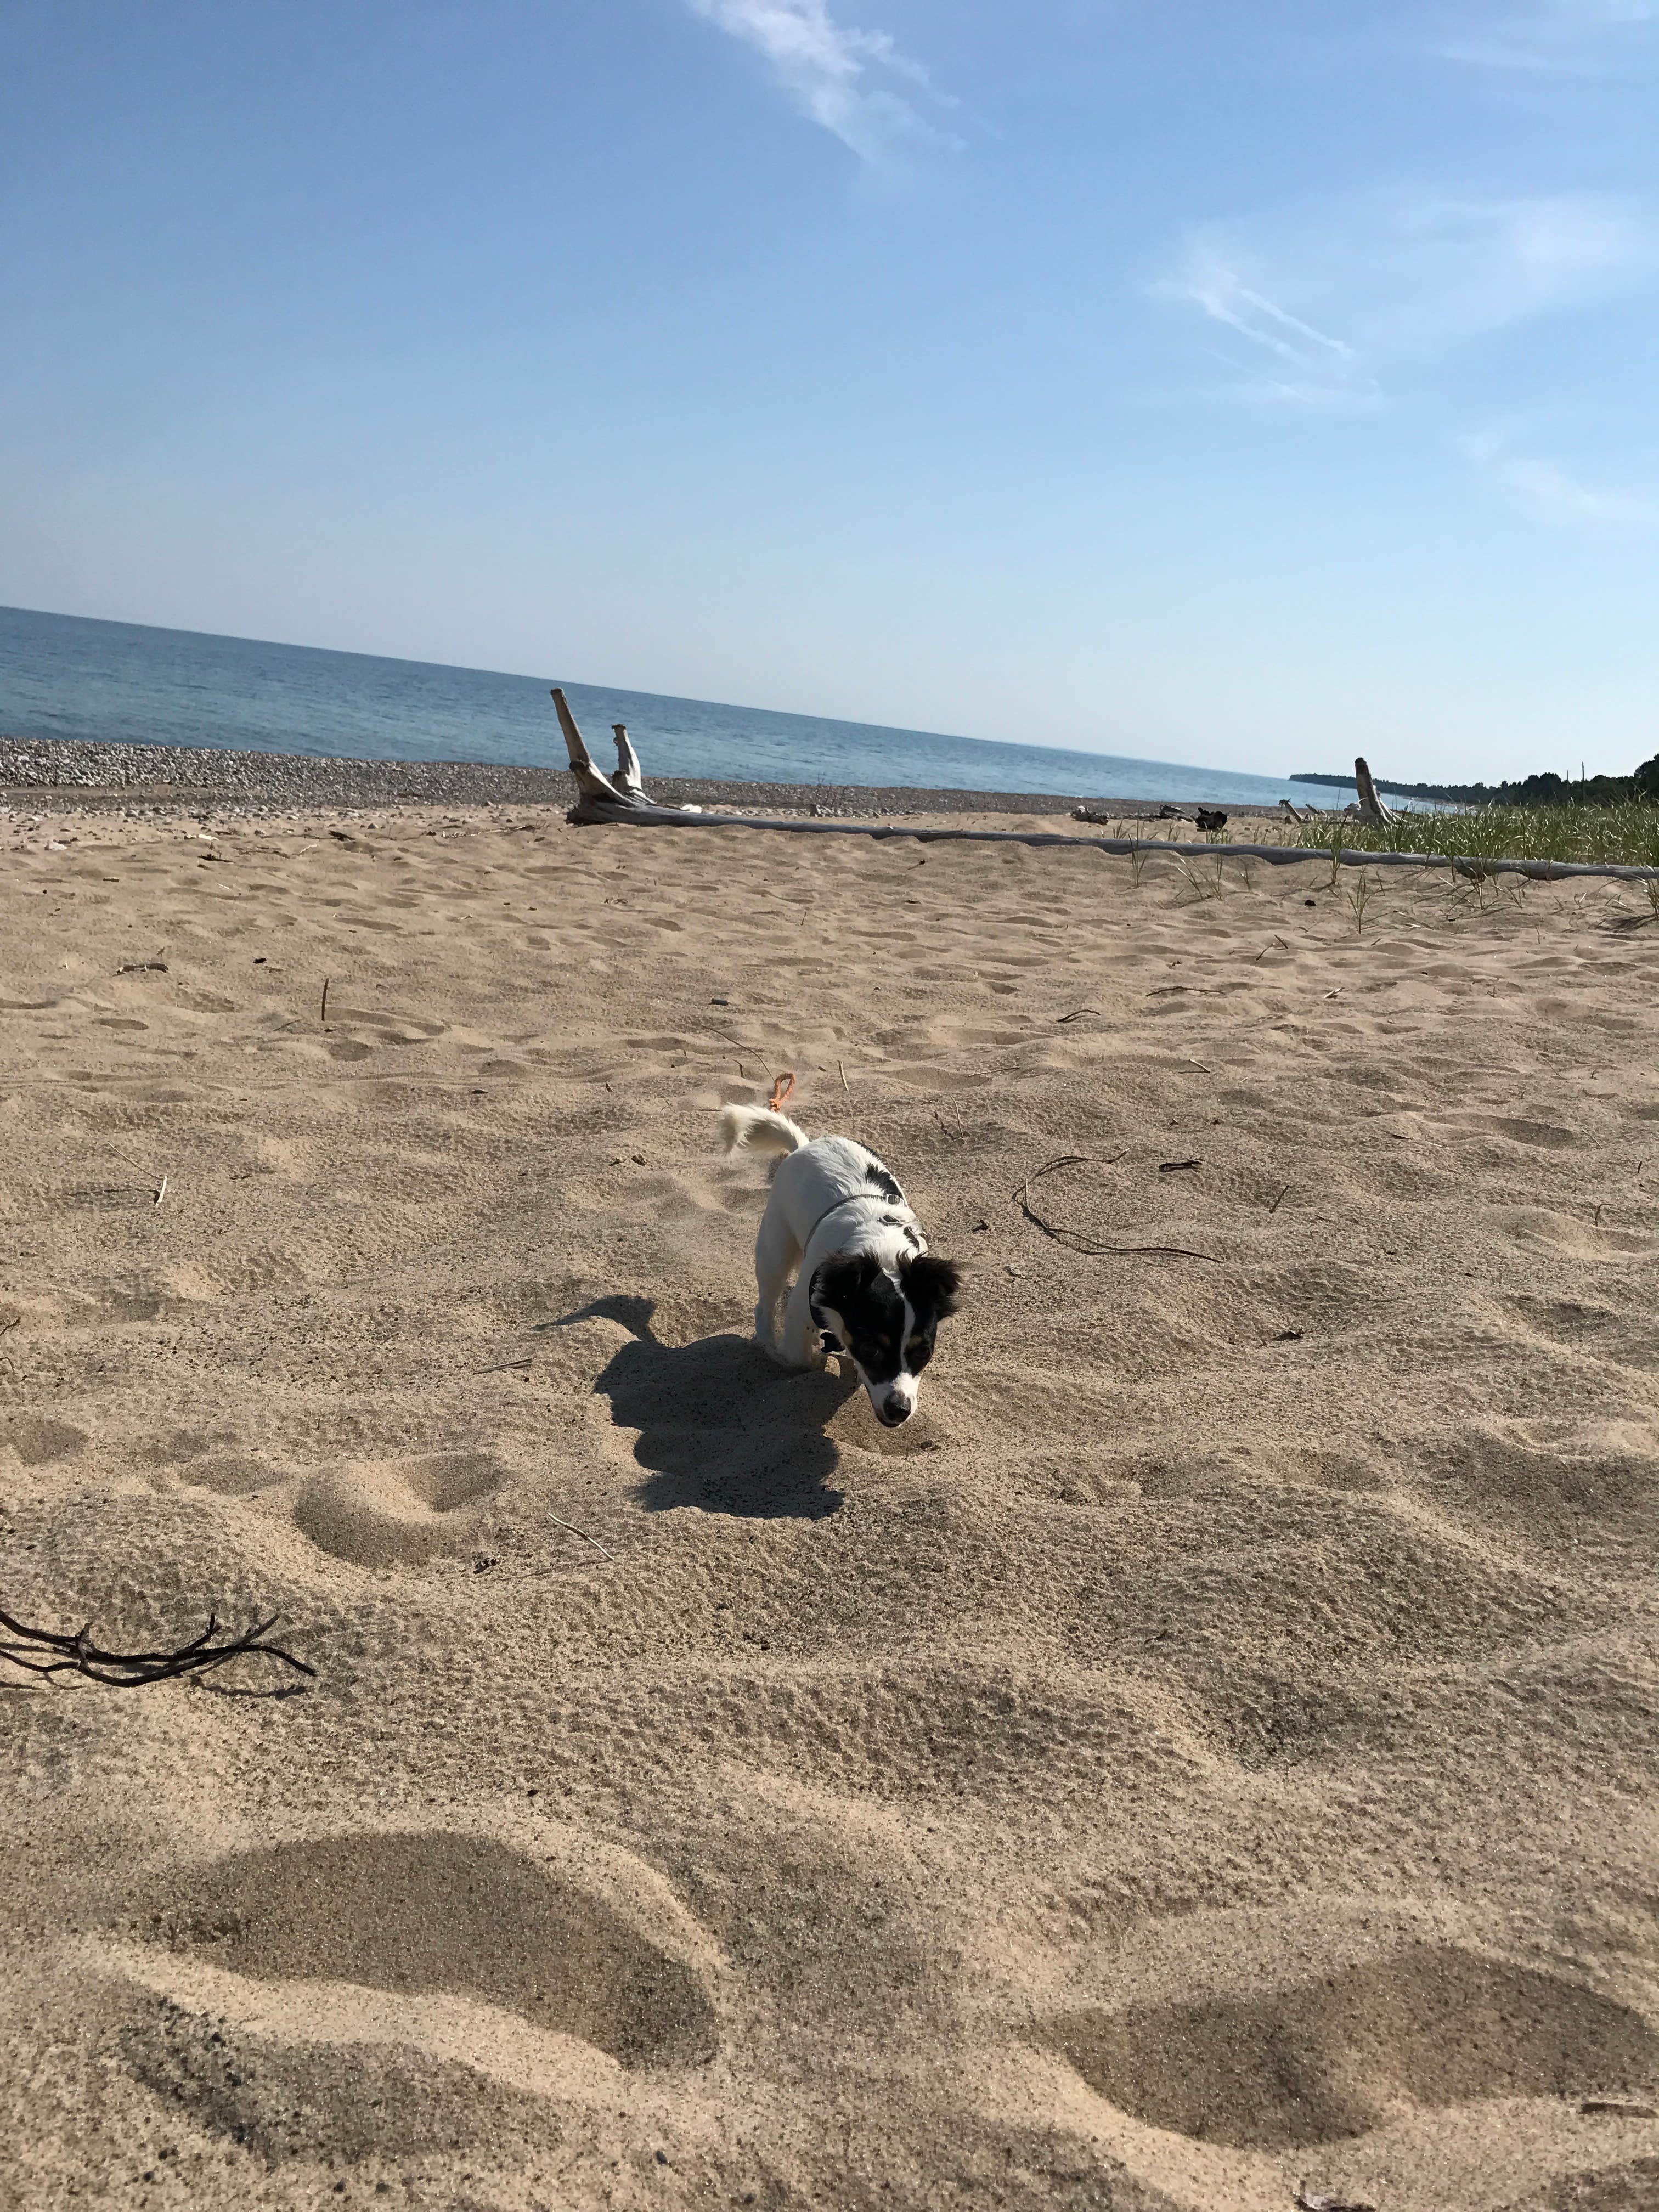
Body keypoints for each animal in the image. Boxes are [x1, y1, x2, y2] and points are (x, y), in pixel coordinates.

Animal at [721, 1106, 969, 1433]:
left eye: (923, 1352)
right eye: (871, 1349)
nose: (900, 1410)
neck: (884, 1255)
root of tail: (806, 1145)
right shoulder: (802, 1310)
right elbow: (799, 1357)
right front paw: (811, 1361)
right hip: (774, 1250)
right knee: (765, 1304)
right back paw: (767, 1344)